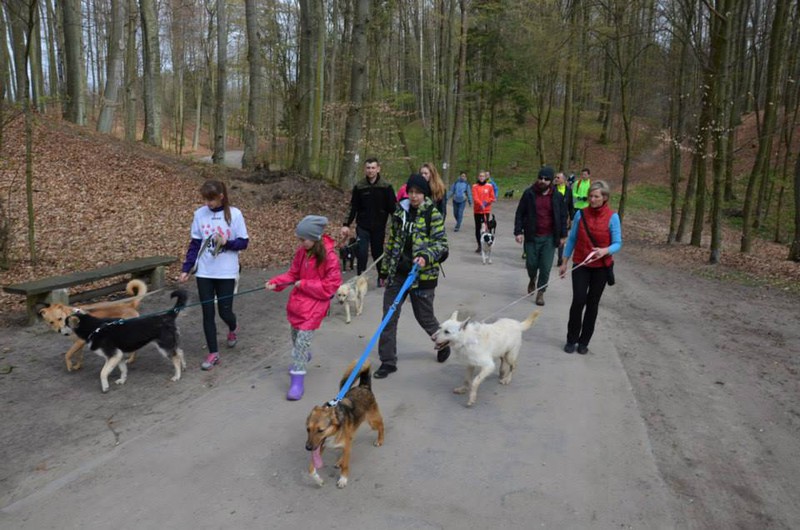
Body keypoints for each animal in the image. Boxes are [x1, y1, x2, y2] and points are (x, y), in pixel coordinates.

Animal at [304, 358, 384, 486]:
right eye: (308, 429)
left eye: (321, 430)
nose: (307, 447)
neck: (333, 432)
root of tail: (364, 386)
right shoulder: (321, 447)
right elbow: (311, 468)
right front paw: (318, 480)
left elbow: (346, 466)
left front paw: (343, 479)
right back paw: (339, 461)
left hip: (373, 421)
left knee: (381, 425)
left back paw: (380, 440)